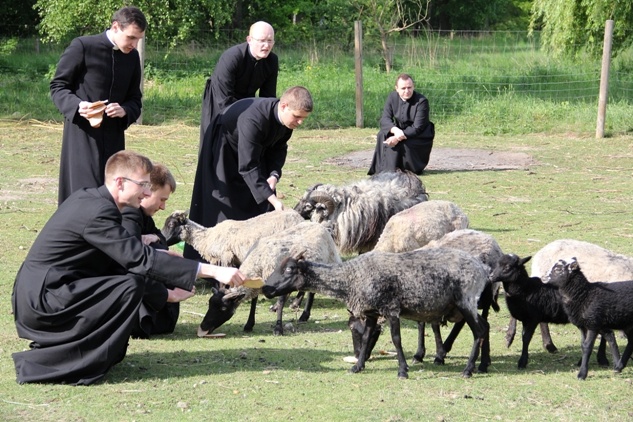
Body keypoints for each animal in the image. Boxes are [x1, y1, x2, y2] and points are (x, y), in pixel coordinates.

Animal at [262, 247, 488, 380]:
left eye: (289, 269)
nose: (265, 288)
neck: (350, 278)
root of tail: (482, 268)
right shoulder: (371, 312)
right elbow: (367, 338)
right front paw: (358, 366)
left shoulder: (391, 308)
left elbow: (396, 339)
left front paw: (402, 371)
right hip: (465, 304)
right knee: (485, 327)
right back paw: (483, 365)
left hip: (466, 300)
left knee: (478, 332)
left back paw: (468, 370)